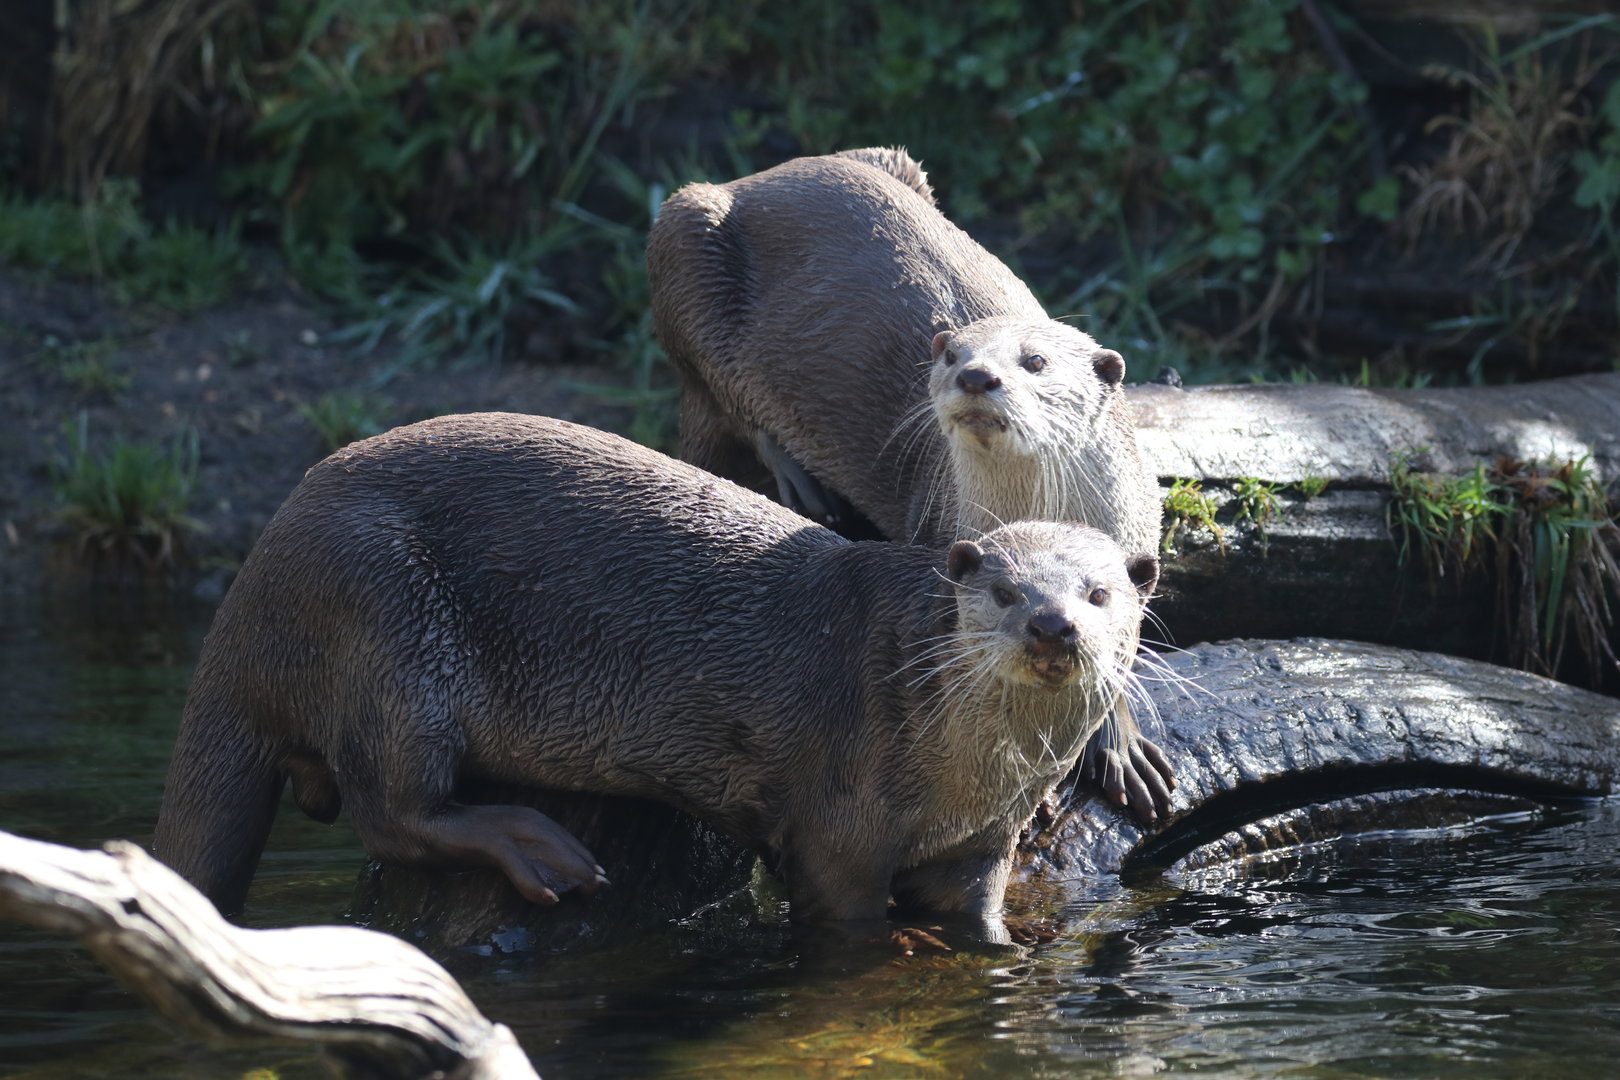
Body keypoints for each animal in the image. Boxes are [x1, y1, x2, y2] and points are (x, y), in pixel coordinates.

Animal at [151, 413, 1159, 931]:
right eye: (1002, 589)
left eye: (1101, 591)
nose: (1053, 623)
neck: (965, 768)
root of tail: (255, 582)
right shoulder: (836, 833)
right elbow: (844, 921)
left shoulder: (980, 845)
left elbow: (978, 920)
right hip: (380, 615)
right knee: (393, 809)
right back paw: (540, 850)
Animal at [646, 148, 1168, 818]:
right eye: (949, 356)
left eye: (1034, 361)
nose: (976, 375)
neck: (1046, 521)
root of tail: (754, 178)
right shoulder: (941, 538)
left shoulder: (1136, 550)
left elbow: (1119, 651)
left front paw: (1120, 746)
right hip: (685, 242)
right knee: (728, 396)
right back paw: (802, 481)